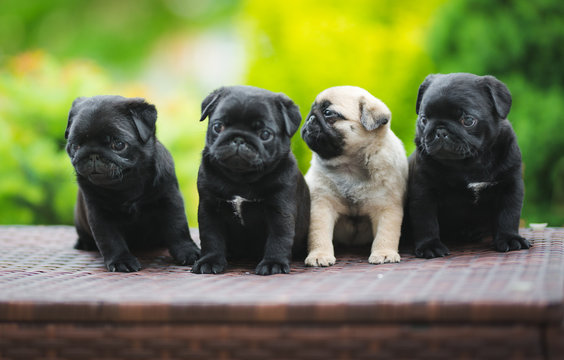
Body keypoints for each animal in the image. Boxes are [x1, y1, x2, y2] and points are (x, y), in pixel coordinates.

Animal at [65, 94, 200, 272]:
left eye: (118, 144)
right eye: (75, 146)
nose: (93, 154)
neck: (126, 184)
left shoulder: (170, 200)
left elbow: (178, 227)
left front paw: (188, 251)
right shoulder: (99, 213)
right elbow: (110, 239)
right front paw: (121, 260)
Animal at [193, 86, 308, 276]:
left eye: (265, 134)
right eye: (218, 126)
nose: (239, 138)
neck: (241, 178)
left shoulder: (280, 210)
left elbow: (279, 238)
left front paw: (273, 263)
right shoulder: (209, 210)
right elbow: (211, 237)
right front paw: (210, 261)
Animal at [302, 86, 408, 268]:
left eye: (328, 113)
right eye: (312, 110)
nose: (310, 119)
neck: (349, 167)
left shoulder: (386, 207)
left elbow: (386, 233)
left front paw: (384, 253)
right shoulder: (322, 205)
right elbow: (319, 235)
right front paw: (320, 255)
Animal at [408, 74, 532, 258]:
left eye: (467, 120)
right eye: (424, 120)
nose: (440, 130)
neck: (468, 163)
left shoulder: (510, 186)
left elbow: (508, 215)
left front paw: (509, 238)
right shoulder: (424, 191)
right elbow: (426, 221)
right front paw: (429, 245)